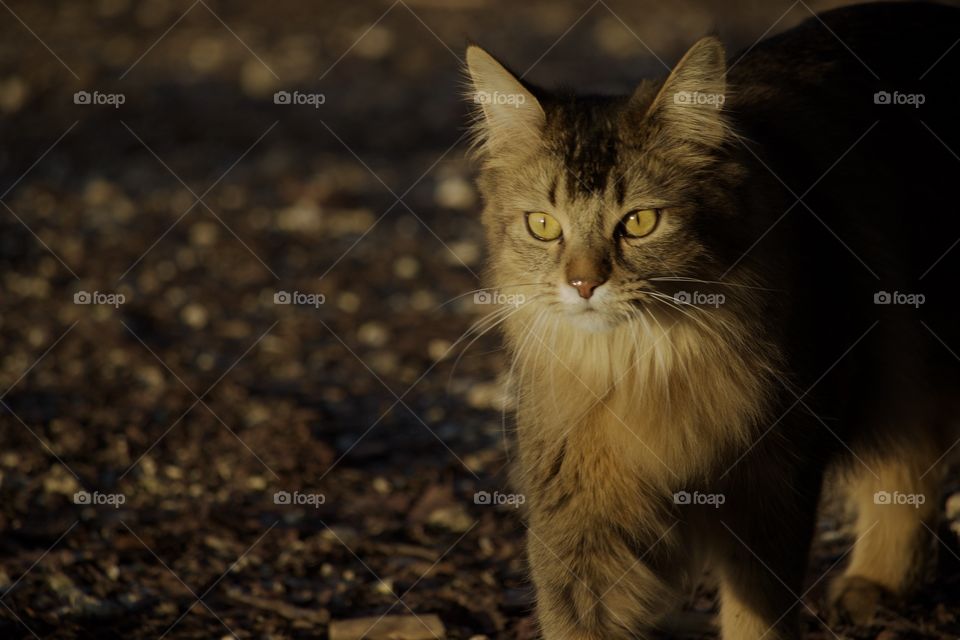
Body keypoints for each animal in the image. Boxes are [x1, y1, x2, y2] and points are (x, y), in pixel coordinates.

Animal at [464, 3, 960, 640]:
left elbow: (758, 615)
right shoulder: (576, 507)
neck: (647, 368)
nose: (583, 284)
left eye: (640, 222)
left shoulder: (775, 485)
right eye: (543, 226)